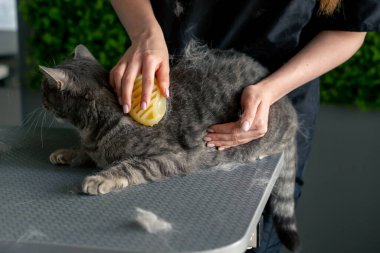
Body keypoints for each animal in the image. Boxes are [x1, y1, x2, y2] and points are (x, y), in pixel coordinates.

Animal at [38, 42, 300, 251]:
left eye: (44, 87)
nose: (40, 98)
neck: (93, 127)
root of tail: (291, 108)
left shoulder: (171, 157)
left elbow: (129, 167)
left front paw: (99, 178)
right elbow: (86, 152)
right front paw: (68, 153)